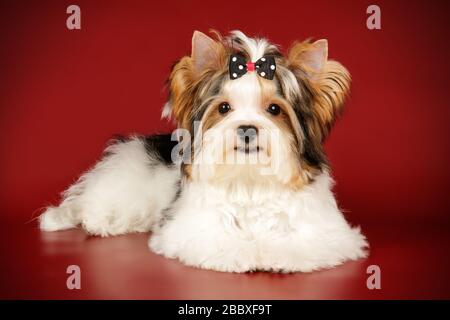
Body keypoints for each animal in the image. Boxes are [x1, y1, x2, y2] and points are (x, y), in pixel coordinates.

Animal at [38, 30, 370, 272]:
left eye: (275, 109)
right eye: (223, 108)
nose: (247, 129)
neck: (250, 178)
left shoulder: (328, 233)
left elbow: (302, 243)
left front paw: (273, 251)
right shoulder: (190, 230)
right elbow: (217, 241)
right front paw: (245, 252)